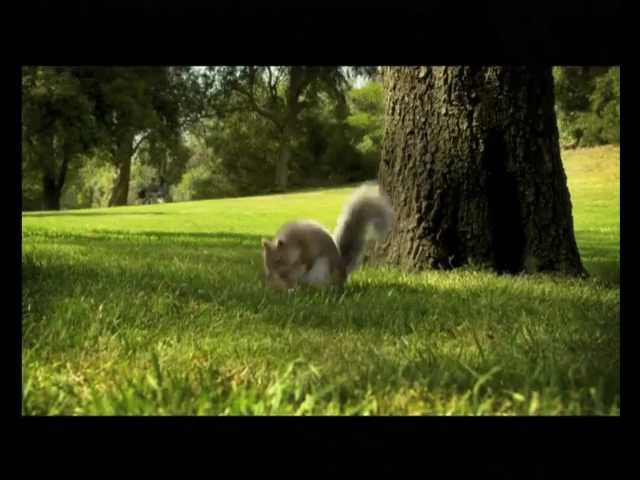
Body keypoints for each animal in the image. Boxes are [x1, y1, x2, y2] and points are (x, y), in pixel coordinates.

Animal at [261, 184, 394, 290]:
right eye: (266, 263)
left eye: (278, 260)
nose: (271, 277)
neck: (294, 244)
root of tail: (342, 275)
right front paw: (285, 285)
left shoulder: (307, 250)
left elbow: (305, 264)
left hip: (322, 270)